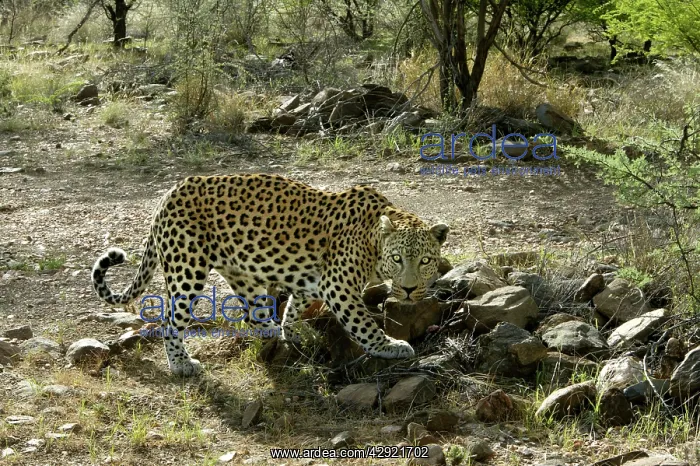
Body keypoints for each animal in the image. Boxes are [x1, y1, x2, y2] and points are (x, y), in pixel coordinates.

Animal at [92, 174, 449, 376]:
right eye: (398, 258)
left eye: (426, 260)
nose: (408, 290)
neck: (374, 240)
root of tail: (165, 199)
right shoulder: (339, 286)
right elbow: (363, 324)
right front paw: (389, 346)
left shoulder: (313, 282)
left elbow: (294, 305)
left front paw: (294, 331)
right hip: (187, 268)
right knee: (169, 320)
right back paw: (181, 365)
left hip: (240, 270)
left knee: (253, 311)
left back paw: (273, 333)